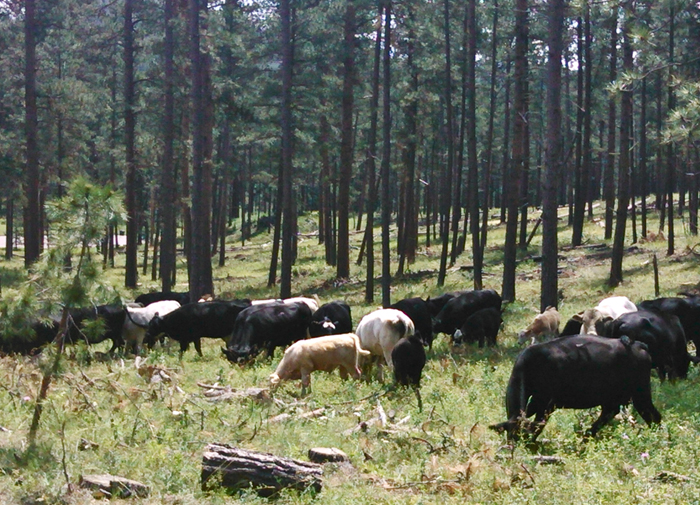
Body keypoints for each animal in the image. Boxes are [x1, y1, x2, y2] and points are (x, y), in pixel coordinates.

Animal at [490, 335, 661, 441]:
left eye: (519, 436)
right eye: (509, 434)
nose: (513, 449)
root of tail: (638, 344)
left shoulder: (546, 402)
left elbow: (538, 424)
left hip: (641, 394)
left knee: (654, 416)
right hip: (612, 398)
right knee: (610, 413)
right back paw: (587, 437)